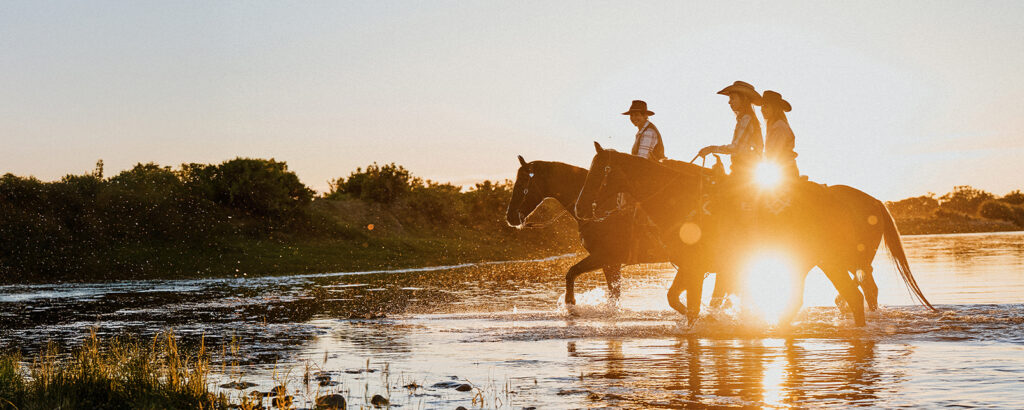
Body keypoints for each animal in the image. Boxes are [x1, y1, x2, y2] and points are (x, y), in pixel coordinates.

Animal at [506, 155, 677, 305]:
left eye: (521, 184)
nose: (510, 217)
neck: (601, 210)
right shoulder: (610, 263)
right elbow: (613, 295)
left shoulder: (604, 257)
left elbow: (572, 272)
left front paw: (570, 301)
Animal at [575, 143, 935, 326]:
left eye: (599, 171)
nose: (580, 206)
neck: (684, 201)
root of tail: (873, 201)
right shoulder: (695, 268)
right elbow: (681, 300)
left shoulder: (698, 267)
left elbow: (693, 306)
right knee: (849, 296)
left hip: (839, 261)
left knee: (858, 294)